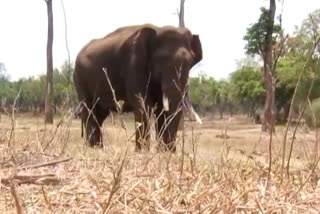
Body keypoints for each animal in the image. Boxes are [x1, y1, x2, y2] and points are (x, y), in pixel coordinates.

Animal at [73, 23, 201, 151]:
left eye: (190, 62)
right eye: (162, 60)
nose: (170, 150)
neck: (158, 30)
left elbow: (162, 108)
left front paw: (164, 153)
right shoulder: (133, 64)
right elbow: (143, 105)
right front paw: (143, 152)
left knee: (99, 115)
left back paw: (98, 148)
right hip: (79, 78)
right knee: (89, 111)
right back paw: (94, 148)